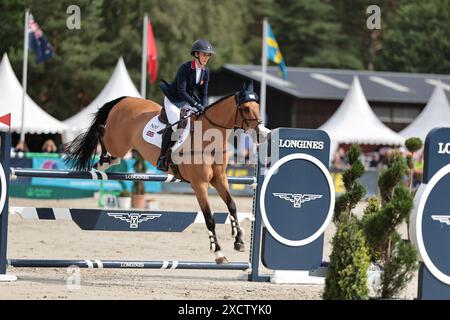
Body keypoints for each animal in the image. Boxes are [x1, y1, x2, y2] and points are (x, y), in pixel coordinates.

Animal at [64, 81, 268, 264]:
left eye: (258, 106)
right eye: (246, 109)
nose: (264, 134)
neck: (209, 139)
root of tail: (125, 99)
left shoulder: (219, 179)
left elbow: (232, 205)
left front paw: (239, 240)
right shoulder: (199, 184)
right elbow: (209, 217)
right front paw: (218, 253)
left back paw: (107, 162)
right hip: (118, 142)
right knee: (100, 131)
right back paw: (103, 161)